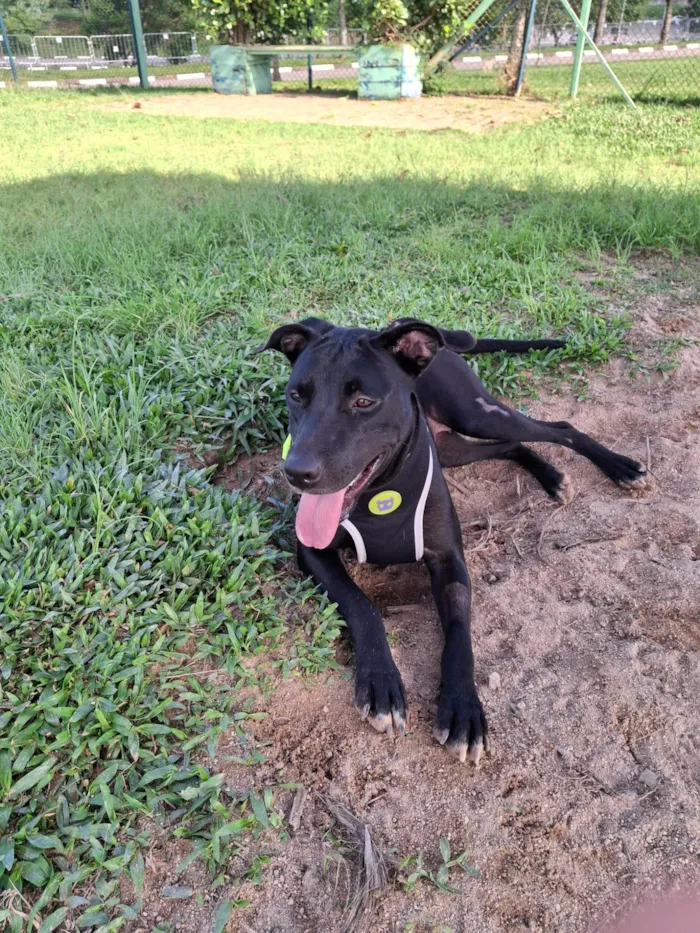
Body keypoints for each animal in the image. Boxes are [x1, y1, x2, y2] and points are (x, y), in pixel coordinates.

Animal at [262, 316, 644, 760]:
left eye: (364, 402)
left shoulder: (450, 561)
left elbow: (460, 635)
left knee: (556, 428)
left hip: (476, 413)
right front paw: (382, 684)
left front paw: (463, 708)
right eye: (295, 396)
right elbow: (362, 606)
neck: (381, 492)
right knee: (511, 444)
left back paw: (619, 467)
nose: (297, 472)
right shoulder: (313, 551)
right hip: (451, 447)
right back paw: (552, 476)